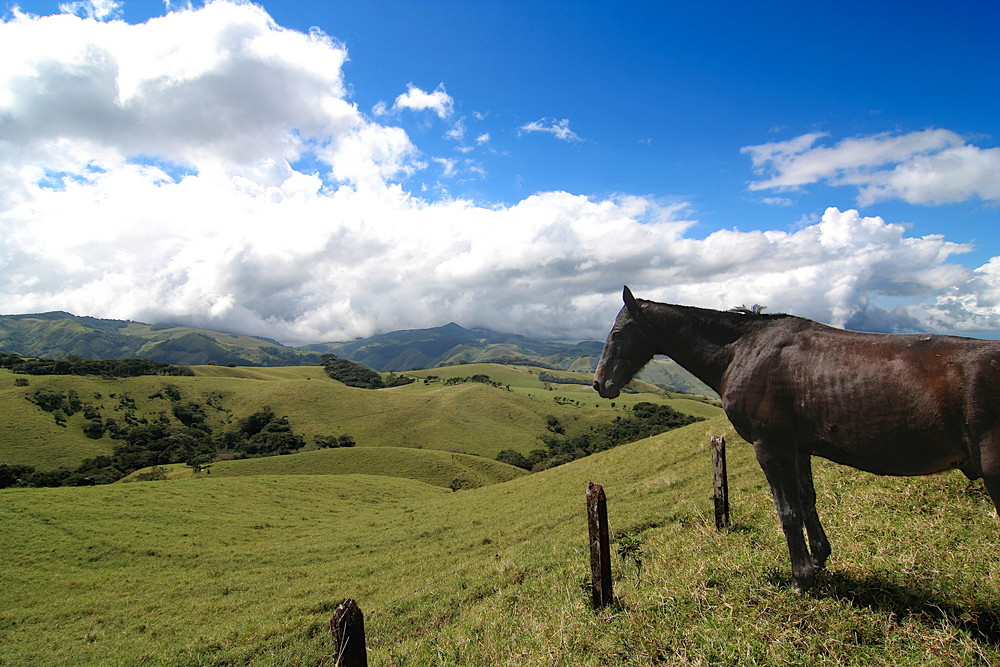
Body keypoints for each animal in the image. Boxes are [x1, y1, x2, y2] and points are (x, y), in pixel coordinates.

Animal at [592, 284, 1000, 592]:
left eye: (617, 333)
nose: (599, 384)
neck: (743, 351)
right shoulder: (798, 447)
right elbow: (806, 501)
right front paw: (818, 558)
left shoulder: (770, 447)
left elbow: (786, 510)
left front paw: (800, 577)